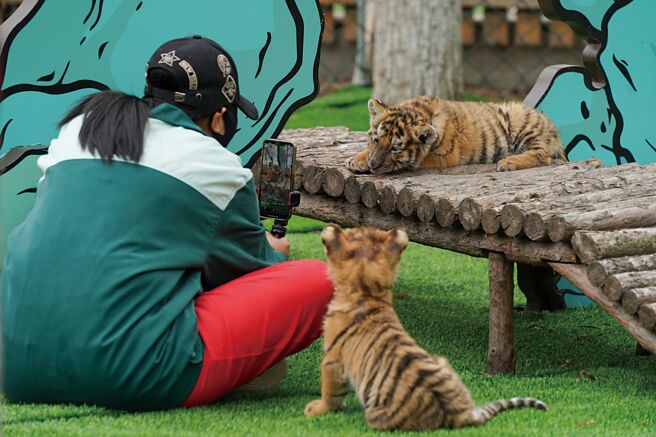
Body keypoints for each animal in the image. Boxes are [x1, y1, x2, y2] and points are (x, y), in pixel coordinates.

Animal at [304, 224, 547, 431]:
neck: (367, 293)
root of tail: (462, 414)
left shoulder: (333, 359)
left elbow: (330, 391)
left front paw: (317, 409)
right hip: (442, 361)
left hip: (377, 415)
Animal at [345, 96, 566, 174]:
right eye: (375, 140)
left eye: (395, 148)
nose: (373, 164)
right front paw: (357, 159)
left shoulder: (446, 156)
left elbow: (414, 162)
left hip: (522, 124)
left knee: (542, 155)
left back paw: (509, 161)